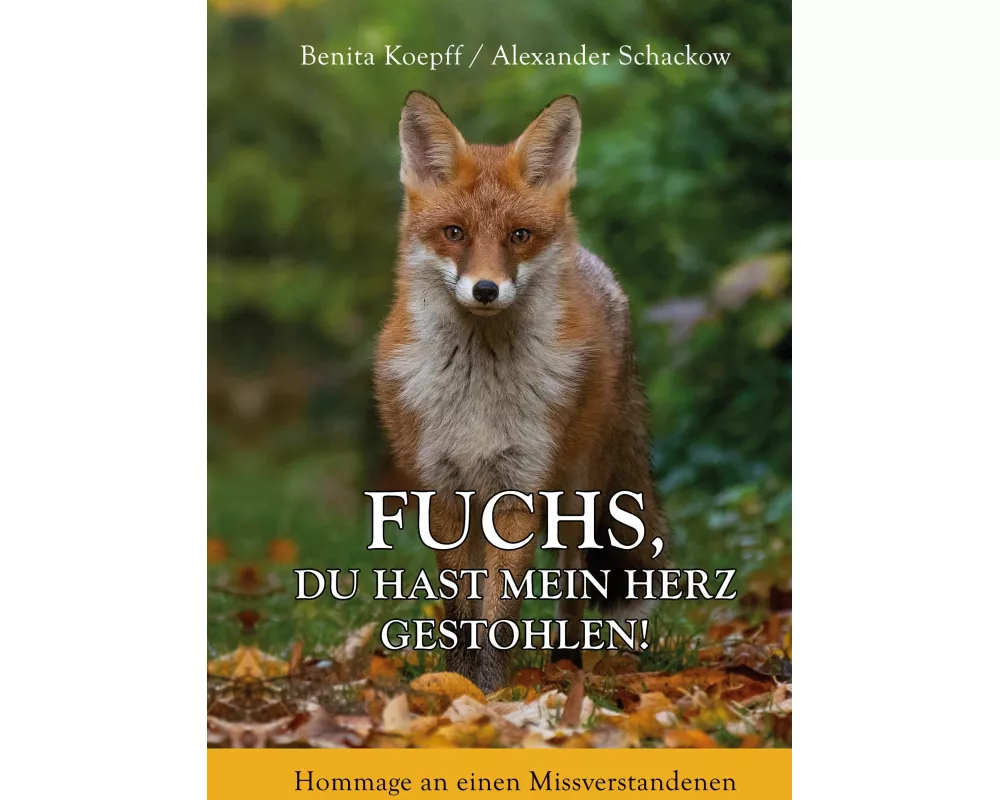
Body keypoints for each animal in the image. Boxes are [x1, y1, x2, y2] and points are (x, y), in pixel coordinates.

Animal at [374, 91, 669, 692]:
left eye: (519, 236)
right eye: (455, 233)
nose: (486, 289)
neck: (478, 395)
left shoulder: (519, 489)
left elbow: (500, 614)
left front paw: (491, 693)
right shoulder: (444, 491)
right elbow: (460, 612)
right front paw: (458, 684)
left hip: (578, 494)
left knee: (574, 583)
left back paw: (566, 663)